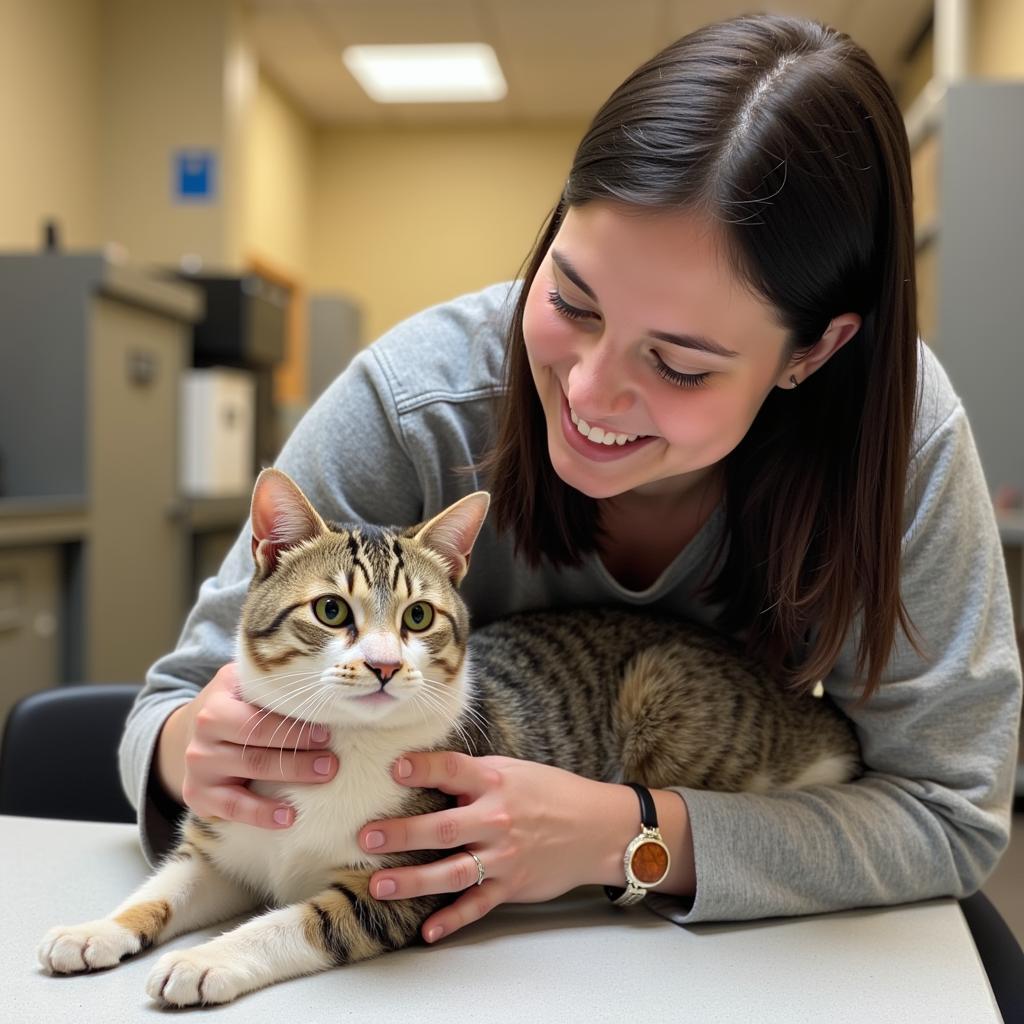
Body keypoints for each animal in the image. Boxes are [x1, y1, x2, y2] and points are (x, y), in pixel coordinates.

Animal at [37, 468, 856, 1003]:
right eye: (331, 611)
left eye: (419, 617)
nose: (383, 664)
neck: (344, 748)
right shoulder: (227, 844)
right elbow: (166, 888)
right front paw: (96, 929)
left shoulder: (400, 883)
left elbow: (301, 921)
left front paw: (210, 957)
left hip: (673, 699)